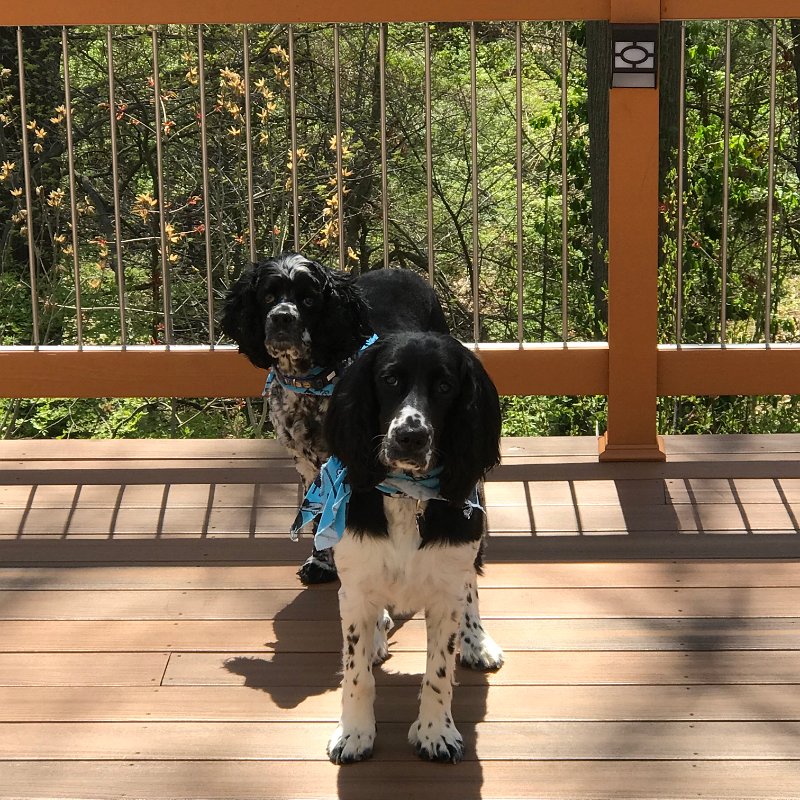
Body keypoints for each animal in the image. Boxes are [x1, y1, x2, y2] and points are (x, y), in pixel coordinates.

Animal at [221, 253, 448, 584]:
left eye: (309, 299)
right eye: (267, 297)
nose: (282, 318)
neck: (310, 386)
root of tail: (402, 269)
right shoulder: (307, 464)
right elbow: (319, 514)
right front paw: (321, 562)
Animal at [295, 331, 505, 764]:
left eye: (445, 386)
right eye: (389, 380)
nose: (411, 436)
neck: (408, 496)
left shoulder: (447, 585)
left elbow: (439, 672)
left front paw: (436, 733)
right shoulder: (356, 585)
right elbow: (356, 673)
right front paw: (354, 734)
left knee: (471, 586)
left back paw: (476, 640)